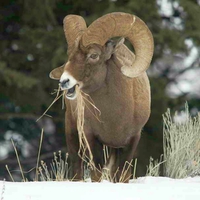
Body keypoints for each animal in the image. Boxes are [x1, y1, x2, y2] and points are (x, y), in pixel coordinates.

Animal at [49, 11, 154, 182]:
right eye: (69, 55)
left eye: (94, 55)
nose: (64, 81)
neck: (114, 117)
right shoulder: (91, 138)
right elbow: (96, 174)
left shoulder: (132, 140)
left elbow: (123, 175)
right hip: (72, 131)